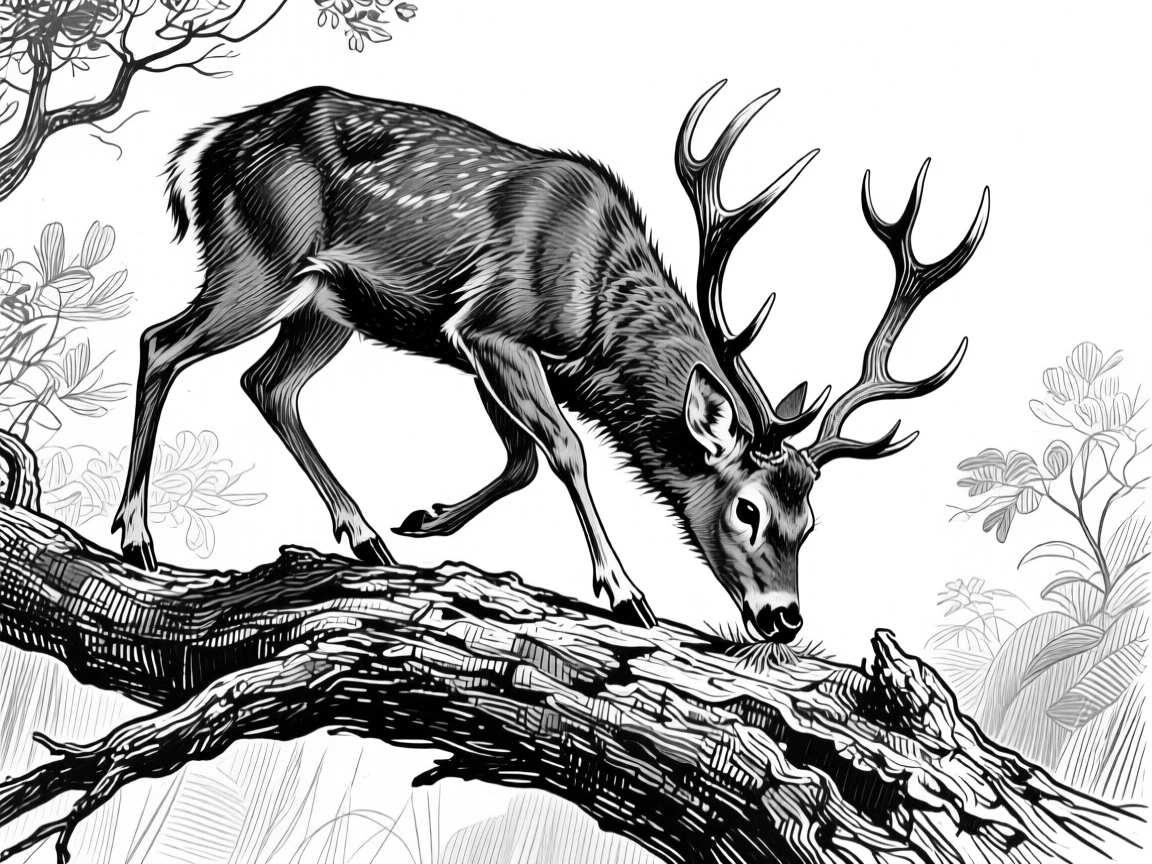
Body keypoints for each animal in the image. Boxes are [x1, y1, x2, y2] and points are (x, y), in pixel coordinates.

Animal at [111, 81, 989, 642]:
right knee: (162, 342)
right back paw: (134, 534)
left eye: (811, 522)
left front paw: (427, 518)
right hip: (259, 259)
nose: (783, 617)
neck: (597, 319)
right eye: (749, 510)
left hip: (330, 306)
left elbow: (523, 459)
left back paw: (364, 535)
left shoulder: (470, 344)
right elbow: (564, 450)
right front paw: (625, 591)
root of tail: (202, 147)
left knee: (266, 383)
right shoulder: (493, 326)